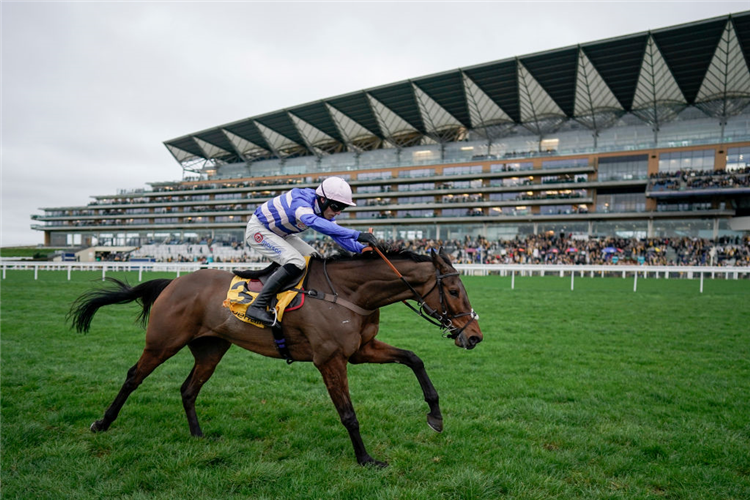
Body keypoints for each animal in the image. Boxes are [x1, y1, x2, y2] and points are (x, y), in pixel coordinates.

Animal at [69, 248, 482, 466]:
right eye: (454, 291)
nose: (475, 336)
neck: (350, 293)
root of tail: (173, 281)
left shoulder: (360, 351)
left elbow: (414, 359)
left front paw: (435, 416)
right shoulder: (330, 359)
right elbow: (348, 413)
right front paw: (366, 459)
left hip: (211, 348)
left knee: (188, 389)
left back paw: (199, 435)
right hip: (162, 342)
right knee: (133, 376)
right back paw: (102, 423)